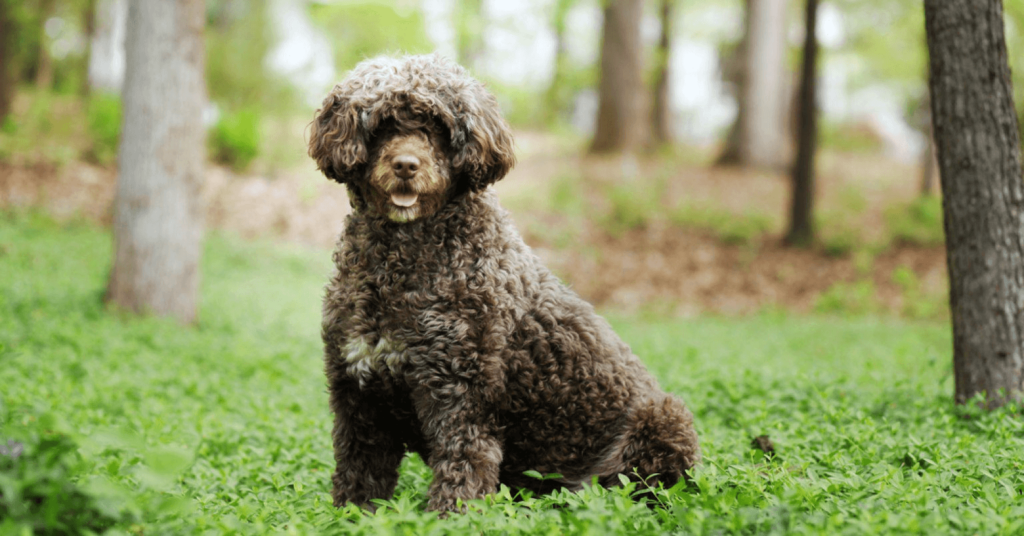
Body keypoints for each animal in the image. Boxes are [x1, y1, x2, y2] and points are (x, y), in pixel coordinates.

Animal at [307, 54, 700, 516]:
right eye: (383, 123)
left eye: (437, 126)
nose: (406, 165)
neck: (401, 260)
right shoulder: (359, 392)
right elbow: (359, 474)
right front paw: (349, 516)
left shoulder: (462, 395)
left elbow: (462, 468)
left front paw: (449, 519)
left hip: (663, 419)